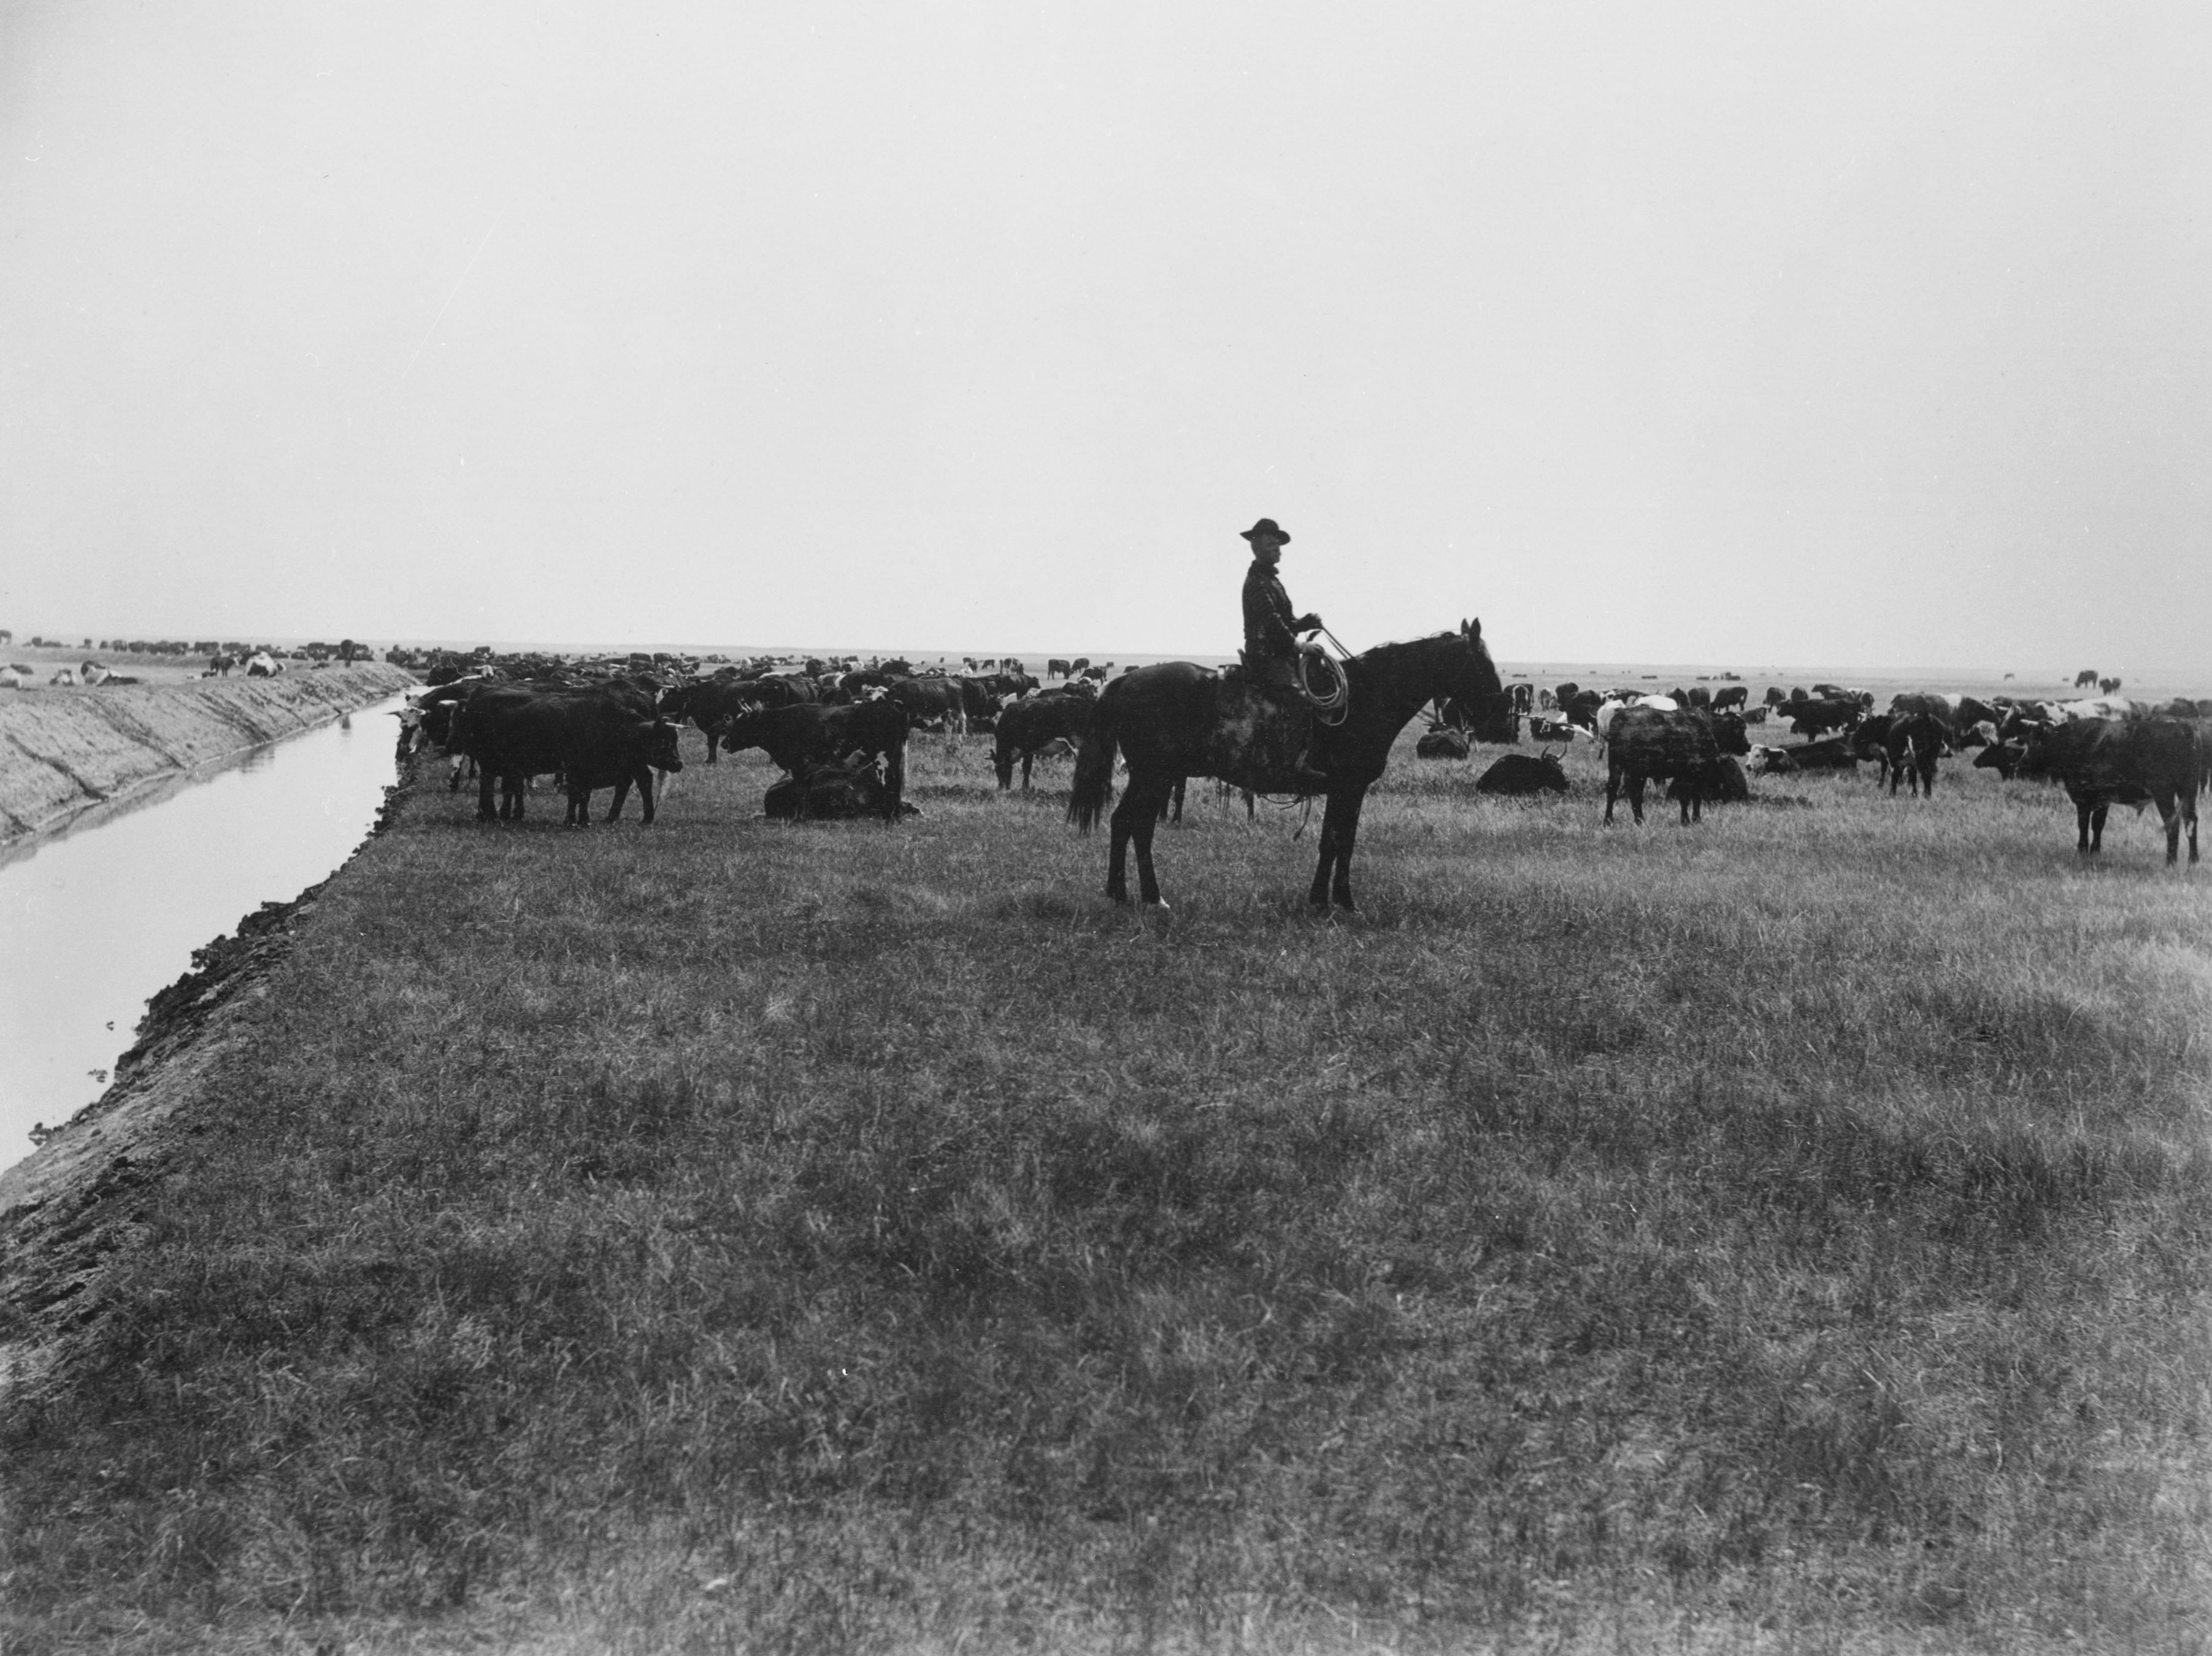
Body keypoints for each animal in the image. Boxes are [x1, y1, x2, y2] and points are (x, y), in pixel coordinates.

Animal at [1061, 619, 1495, 911]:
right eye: (1482, 662)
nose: (1492, 716)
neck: (1367, 697)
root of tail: (1123, 683)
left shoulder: (1342, 790)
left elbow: (1333, 841)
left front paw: (1322, 899)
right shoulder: (1350, 787)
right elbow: (1342, 842)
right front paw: (1343, 901)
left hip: (1152, 776)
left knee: (1126, 823)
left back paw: (1122, 893)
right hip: (1155, 775)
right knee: (1137, 825)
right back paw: (1152, 897)